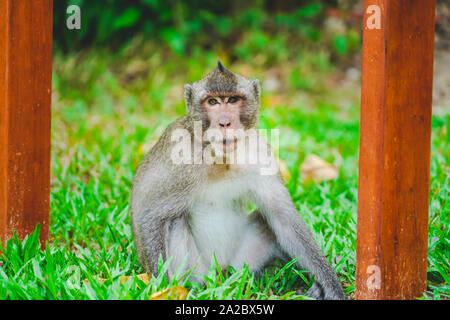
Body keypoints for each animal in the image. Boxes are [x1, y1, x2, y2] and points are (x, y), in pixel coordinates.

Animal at [130, 62, 344, 300]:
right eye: (212, 102)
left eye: (232, 100)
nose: (225, 122)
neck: (220, 157)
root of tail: (221, 273)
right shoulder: (180, 159)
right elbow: (150, 215)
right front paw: (162, 288)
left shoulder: (260, 152)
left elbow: (283, 219)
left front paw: (329, 283)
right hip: (199, 270)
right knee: (174, 220)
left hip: (241, 263)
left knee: (264, 220)